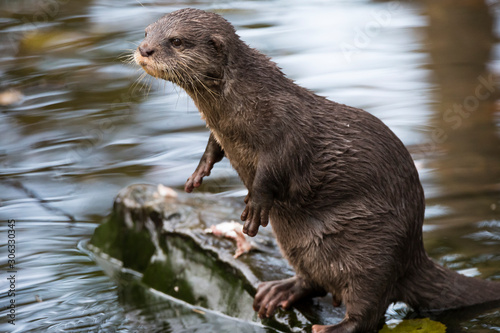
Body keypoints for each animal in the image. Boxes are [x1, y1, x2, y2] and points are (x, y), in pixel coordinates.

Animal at [134, 7, 500, 332]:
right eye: (146, 32)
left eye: (177, 41)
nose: (144, 49)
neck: (240, 109)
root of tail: (414, 252)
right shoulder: (222, 131)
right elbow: (213, 145)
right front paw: (199, 172)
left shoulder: (285, 131)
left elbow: (272, 172)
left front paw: (255, 205)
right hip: (300, 245)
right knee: (315, 282)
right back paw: (280, 290)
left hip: (375, 252)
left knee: (369, 312)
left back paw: (333, 327)